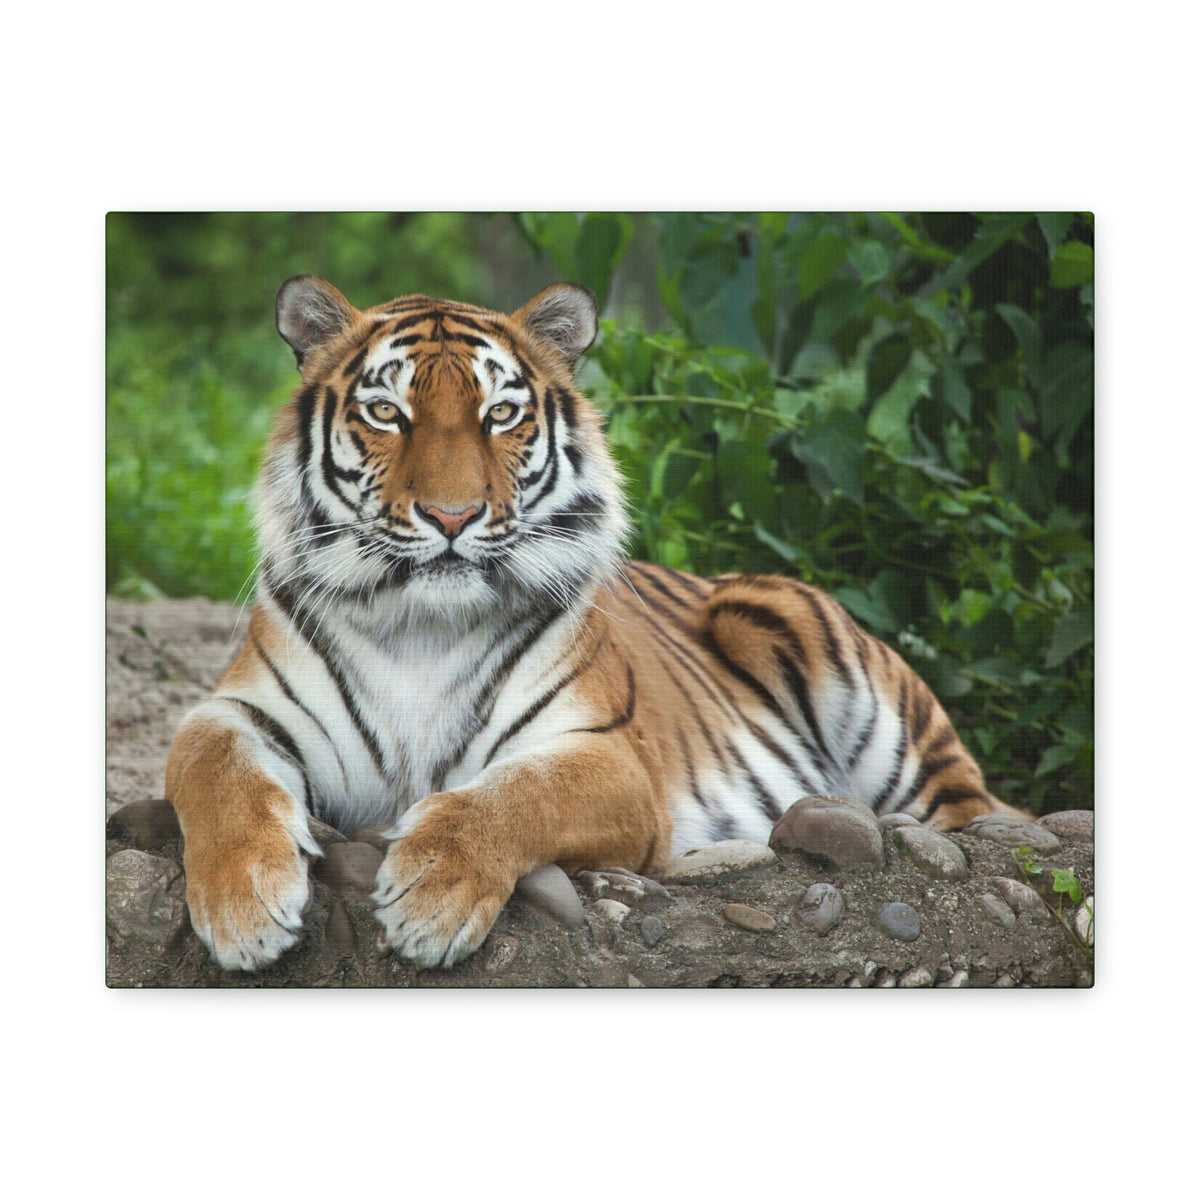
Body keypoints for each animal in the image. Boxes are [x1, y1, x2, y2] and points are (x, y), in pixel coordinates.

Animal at [165, 275, 1026, 972]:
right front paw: (244, 908)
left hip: (820, 657)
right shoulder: (240, 711)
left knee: (976, 814)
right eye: (386, 412)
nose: (452, 516)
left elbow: (512, 796)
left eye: (500, 414)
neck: (420, 628)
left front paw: (431, 895)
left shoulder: (610, 758)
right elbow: (214, 769)